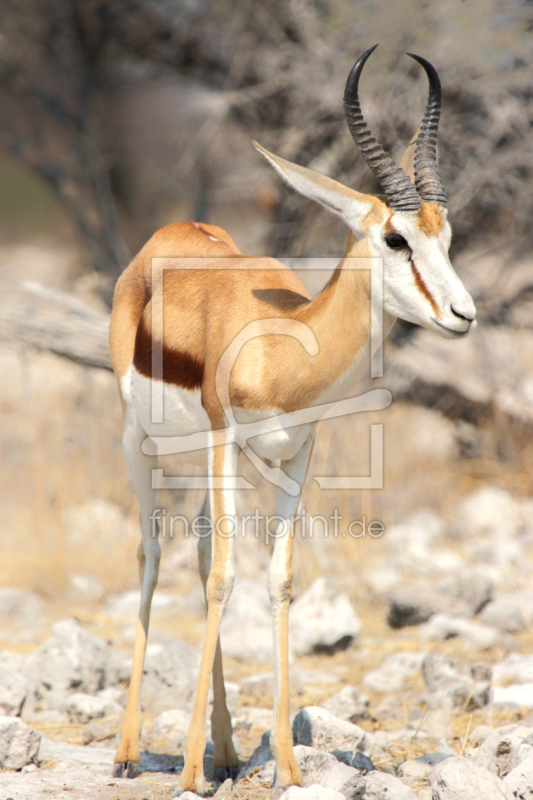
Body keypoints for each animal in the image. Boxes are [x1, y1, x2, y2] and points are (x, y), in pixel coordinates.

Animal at [107, 48, 474, 792]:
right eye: (395, 238)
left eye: (445, 236)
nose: (463, 314)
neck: (279, 347)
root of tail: (172, 232)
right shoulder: (224, 440)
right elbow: (224, 577)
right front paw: (188, 774)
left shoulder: (295, 453)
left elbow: (275, 579)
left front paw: (284, 765)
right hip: (142, 441)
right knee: (153, 552)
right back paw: (132, 752)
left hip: (210, 460)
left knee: (197, 552)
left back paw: (224, 751)